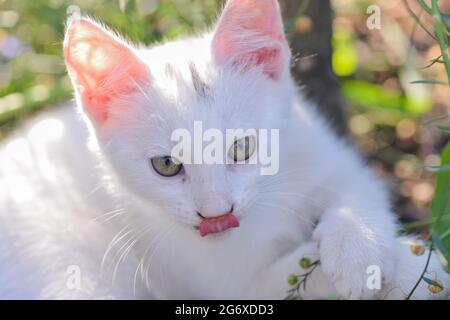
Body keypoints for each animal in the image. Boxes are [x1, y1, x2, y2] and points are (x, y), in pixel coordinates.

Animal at [0, 0, 450, 300]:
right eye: (166, 165)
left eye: (243, 147)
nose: (216, 214)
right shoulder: (222, 283)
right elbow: (290, 276)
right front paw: (414, 269)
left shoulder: (316, 144)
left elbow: (358, 186)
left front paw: (361, 248)